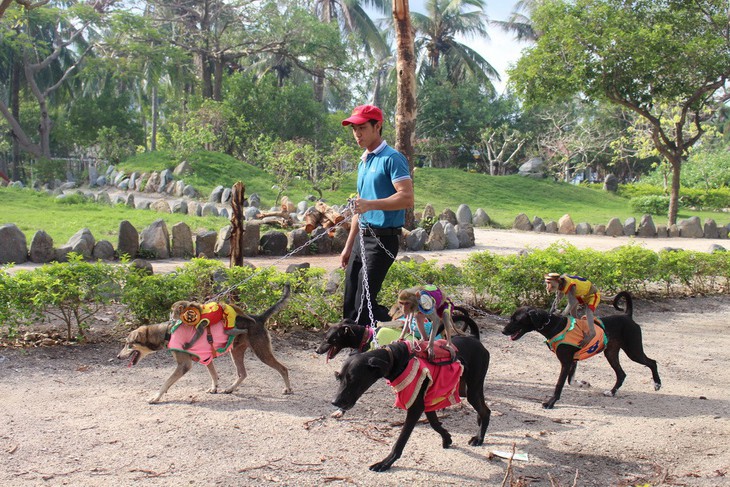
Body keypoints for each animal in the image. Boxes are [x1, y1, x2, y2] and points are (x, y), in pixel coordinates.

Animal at [118, 286, 292, 404]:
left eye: (128, 344)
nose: (118, 356)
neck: (168, 332)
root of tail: (259, 317)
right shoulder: (205, 358)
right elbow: (214, 375)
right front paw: (215, 388)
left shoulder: (184, 365)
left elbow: (166, 382)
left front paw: (156, 397)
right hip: (235, 351)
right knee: (242, 373)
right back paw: (230, 388)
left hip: (261, 352)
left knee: (283, 368)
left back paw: (288, 389)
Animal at [330, 336, 490, 472]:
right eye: (338, 377)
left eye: (353, 379)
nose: (335, 402)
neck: (396, 358)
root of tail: (478, 342)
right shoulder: (428, 399)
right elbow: (434, 423)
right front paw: (446, 437)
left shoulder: (416, 407)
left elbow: (401, 440)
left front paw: (385, 463)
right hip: (464, 389)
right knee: (483, 408)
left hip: (472, 390)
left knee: (486, 411)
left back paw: (479, 437)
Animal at [500, 292, 660, 410]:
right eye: (511, 318)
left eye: (516, 319)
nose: (503, 331)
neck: (553, 325)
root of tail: (627, 316)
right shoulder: (573, 361)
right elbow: (571, 381)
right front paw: (582, 384)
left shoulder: (566, 362)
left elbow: (559, 384)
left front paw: (551, 402)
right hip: (611, 353)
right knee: (621, 374)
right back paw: (612, 392)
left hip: (633, 351)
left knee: (652, 362)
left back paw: (657, 384)